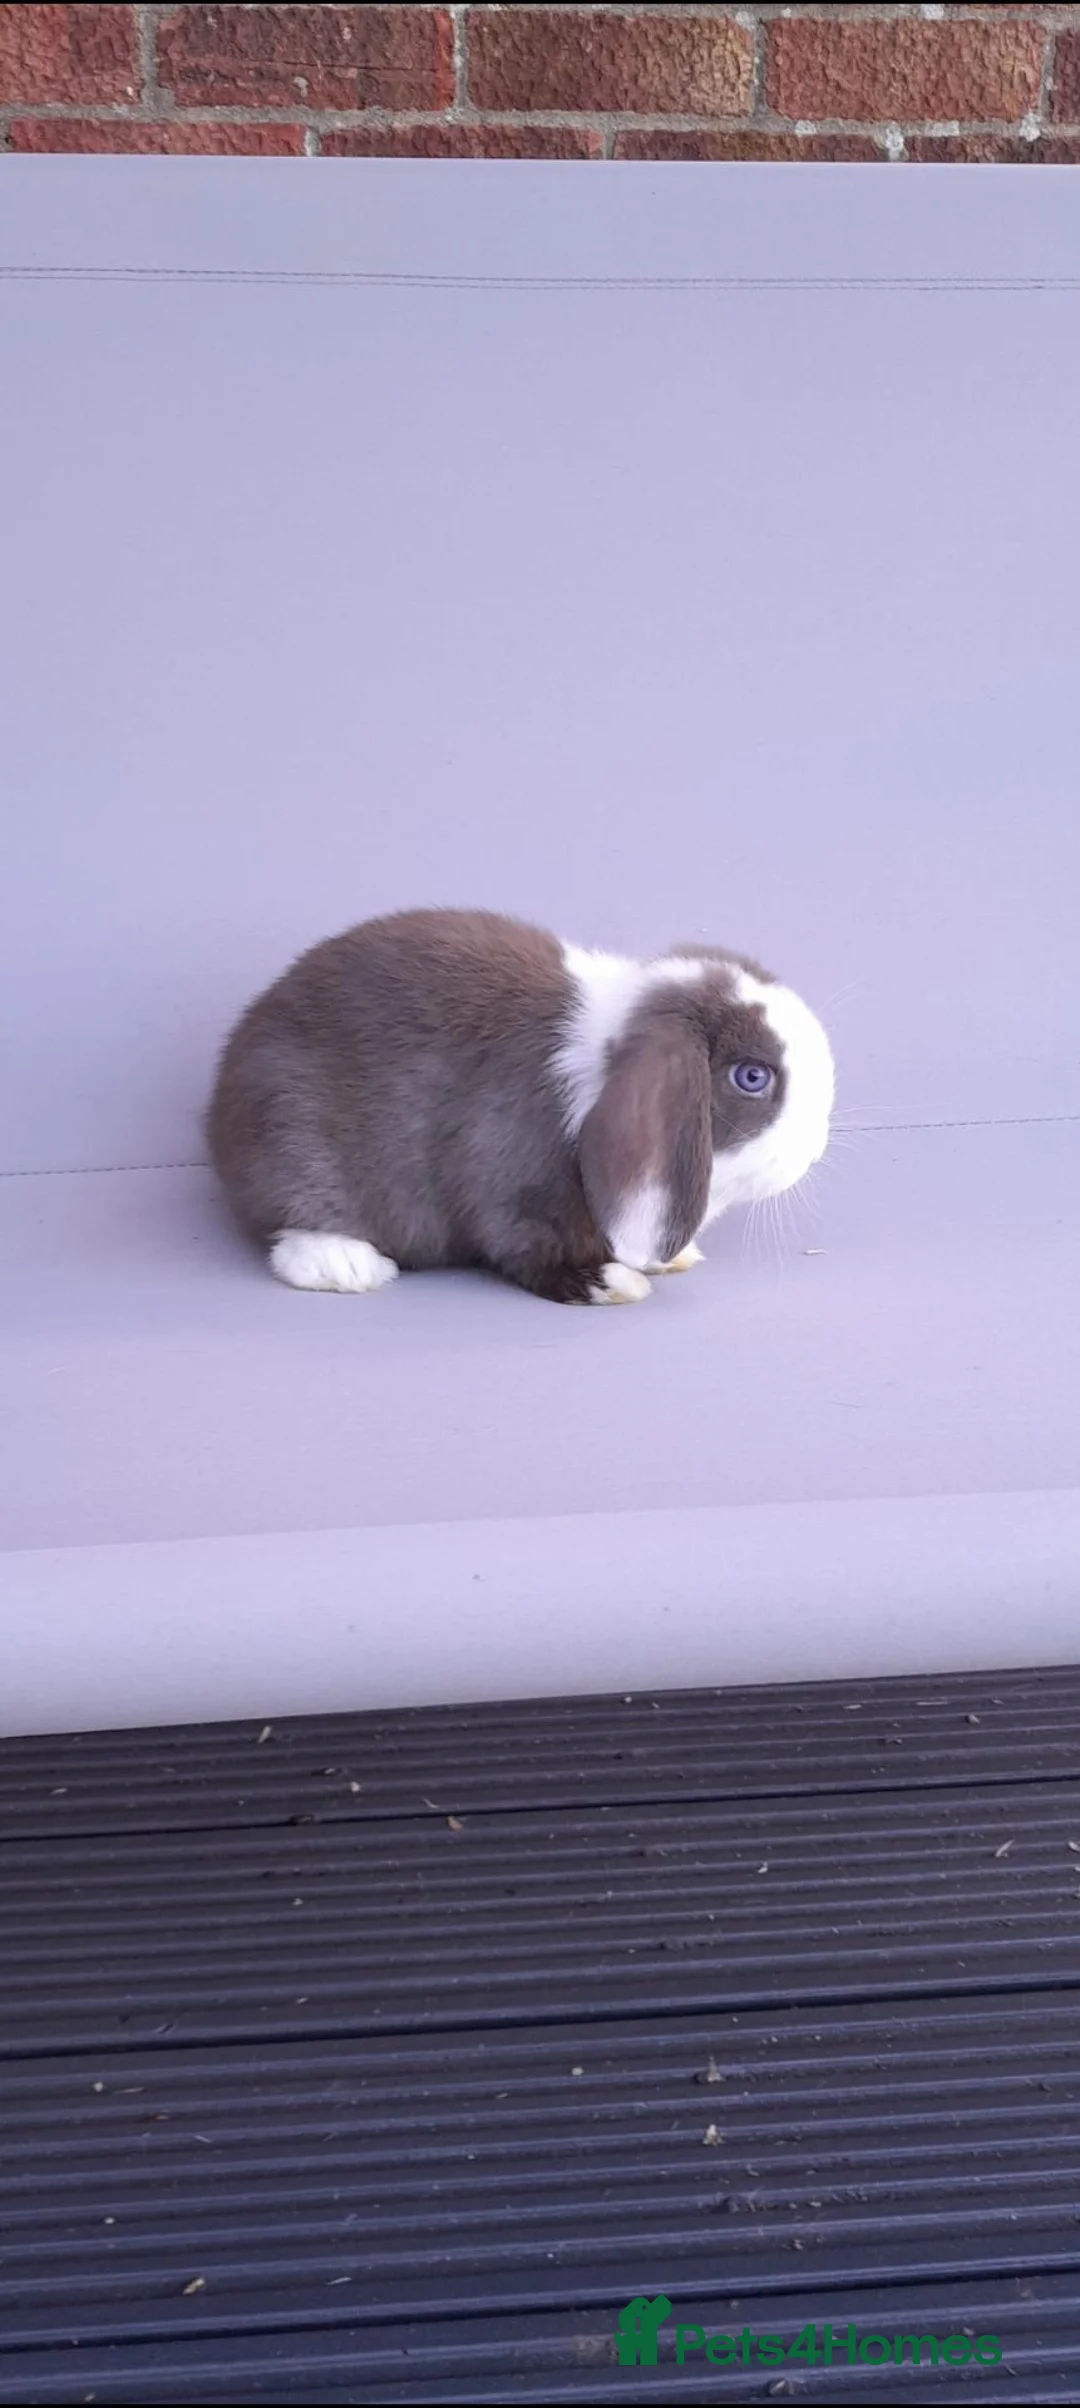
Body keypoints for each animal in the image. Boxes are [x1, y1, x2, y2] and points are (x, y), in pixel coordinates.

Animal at [206, 907, 834, 1306]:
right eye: (752, 1077)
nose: (817, 1144)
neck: (602, 1073)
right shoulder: (514, 1189)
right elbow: (531, 1251)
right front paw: (611, 1284)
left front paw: (673, 1258)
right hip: (291, 1142)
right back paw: (349, 1265)